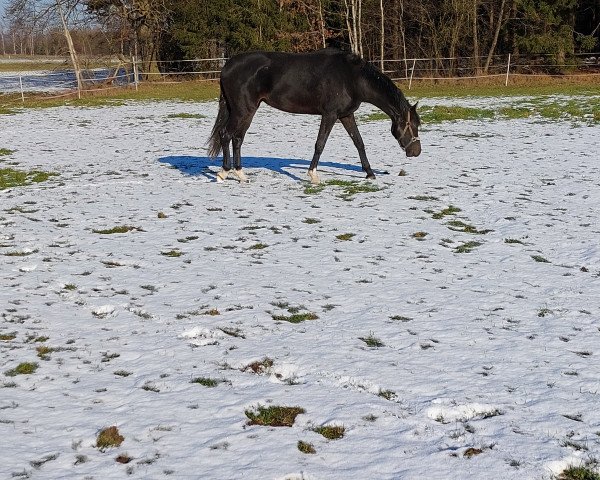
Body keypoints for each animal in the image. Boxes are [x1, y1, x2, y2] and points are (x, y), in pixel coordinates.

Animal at [209, 48, 420, 184]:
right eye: (412, 125)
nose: (416, 152)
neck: (351, 78)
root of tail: (226, 66)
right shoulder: (329, 115)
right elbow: (320, 144)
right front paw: (313, 175)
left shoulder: (346, 115)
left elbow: (359, 142)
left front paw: (369, 173)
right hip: (242, 110)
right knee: (226, 135)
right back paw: (223, 173)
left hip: (248, 111)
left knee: (237, 139)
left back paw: (241, 174)